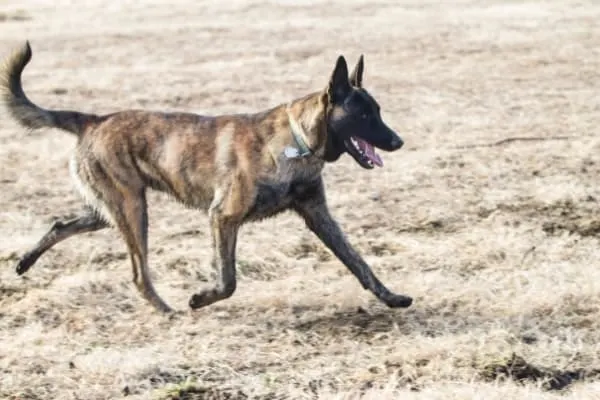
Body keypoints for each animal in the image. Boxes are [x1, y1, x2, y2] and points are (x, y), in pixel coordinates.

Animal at [0, 41, 412, 316]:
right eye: (363, 115)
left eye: (378, 111)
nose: (398, 141)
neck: (295, 143)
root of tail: (94, 120)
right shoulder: (223, 217)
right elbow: (228, 280)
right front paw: (201, 298)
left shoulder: (319, 217)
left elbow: (360, 263)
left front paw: (391, 297)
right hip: (133, 210)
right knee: (138, 274)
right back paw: (167, 311)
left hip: (111, 210)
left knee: (61, 224)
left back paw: (24, 263)